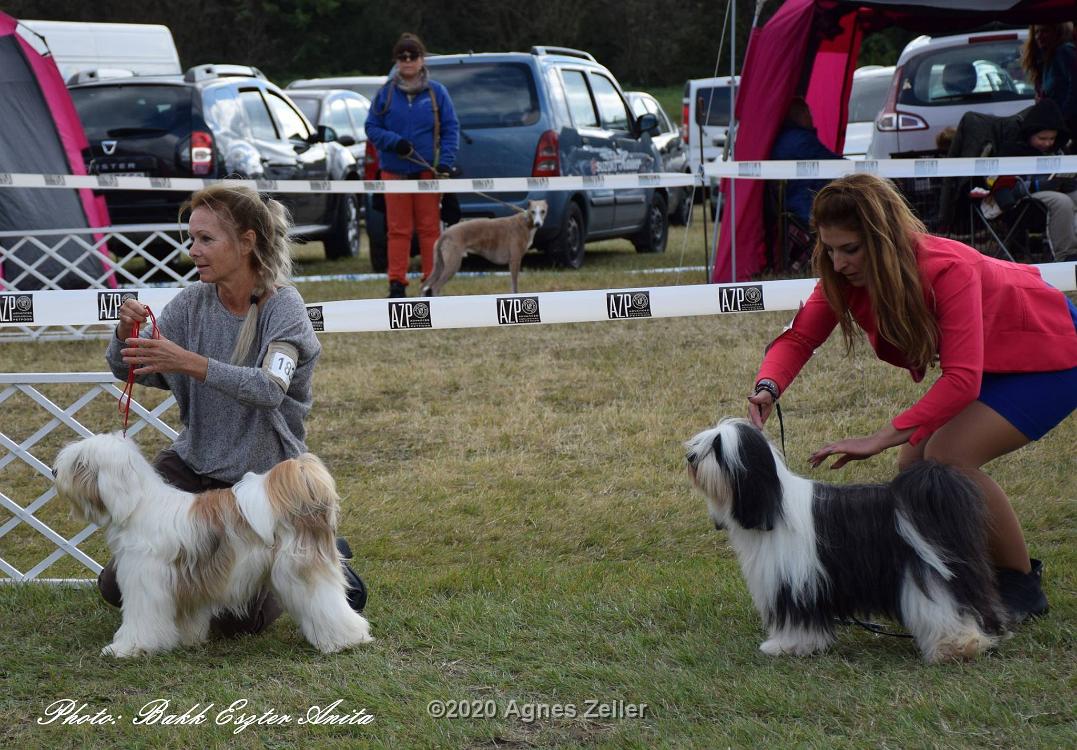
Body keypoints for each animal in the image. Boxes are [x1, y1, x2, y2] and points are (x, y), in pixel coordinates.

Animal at [54, 433, 374, 655]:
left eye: (80, 464)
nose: (56, 473)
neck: (137, 506)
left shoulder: (144, 582)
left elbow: (140, 621)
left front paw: (126, 648)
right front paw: (186, 639)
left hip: (299, 574)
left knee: (326, 602)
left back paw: (346, 639)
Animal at [684, 418, 1003, 663]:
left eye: (718, 448)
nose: (690, 457)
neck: (773, 505)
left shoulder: (794, 579)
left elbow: (797, 618)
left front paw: (785, 646)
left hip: (925, 573)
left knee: (944, 608)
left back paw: (957, 647)